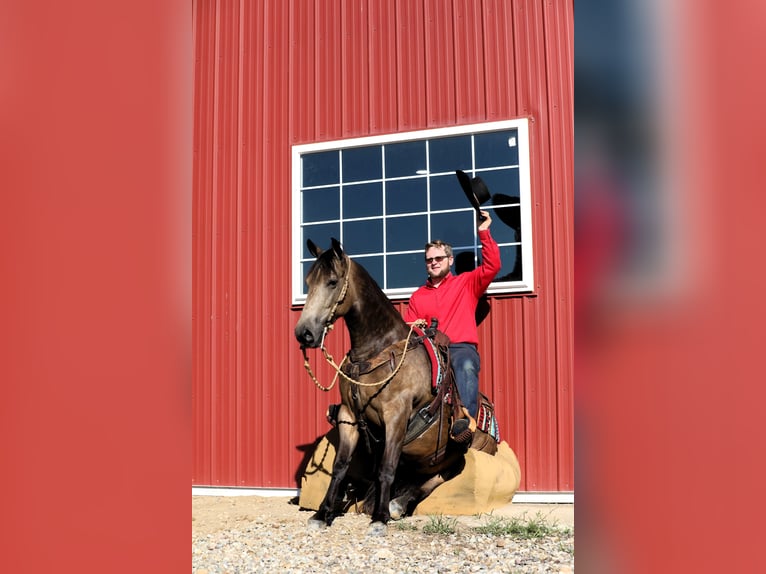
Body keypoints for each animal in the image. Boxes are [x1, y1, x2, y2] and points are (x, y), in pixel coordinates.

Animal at [294, 236, 498, 536]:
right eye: (308, 282)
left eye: (332, 282)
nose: (304, 333)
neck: (374, 353)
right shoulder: (349, 416)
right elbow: (340, 466)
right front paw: (323, 513)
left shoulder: (396, 416)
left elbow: (386, 468)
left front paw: (379, 518)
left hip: (456, 457)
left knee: (435, 479)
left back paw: (395, 505)